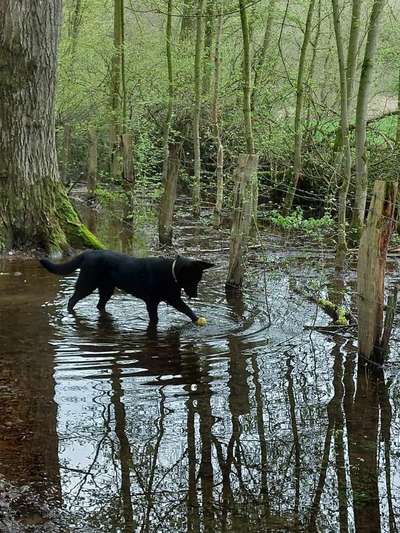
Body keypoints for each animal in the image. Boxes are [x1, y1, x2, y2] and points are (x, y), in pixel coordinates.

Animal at [40, 251, 214, 326]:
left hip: (107, 289)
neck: (170, 274)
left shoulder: (173, 299)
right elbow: (157, 318)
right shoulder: (152, 303)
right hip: (87, 284)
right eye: (192, 279)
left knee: (99, 305)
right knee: (72, 300)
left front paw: (197, 319)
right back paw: (70, 313)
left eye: (198, 280)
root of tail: (88, 252)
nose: (195, 295)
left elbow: (187, 310)